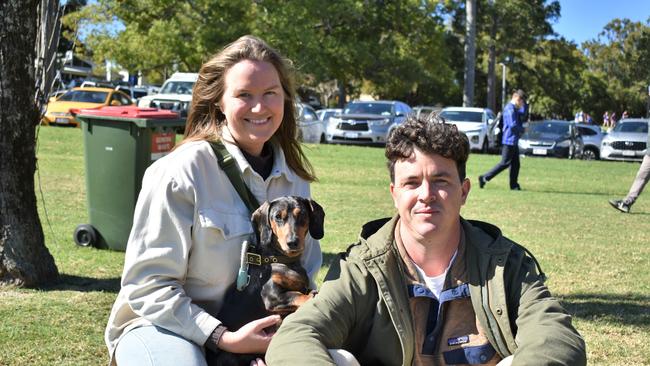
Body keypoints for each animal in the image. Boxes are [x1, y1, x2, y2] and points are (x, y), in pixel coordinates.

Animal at [208, 197, 324, 366]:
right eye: (277, 217)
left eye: (302, 214)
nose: (293, 242)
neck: (282, 261)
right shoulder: (272, 296)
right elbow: (296, 295)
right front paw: (311, 296)